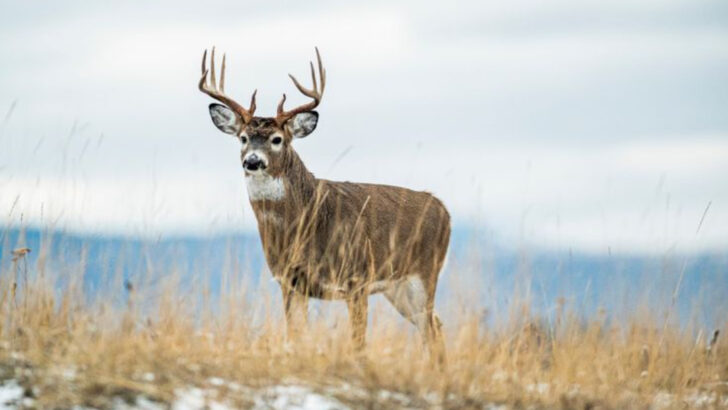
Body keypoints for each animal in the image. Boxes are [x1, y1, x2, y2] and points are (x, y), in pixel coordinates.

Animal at [199, 48, 450, 360]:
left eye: (277, 139)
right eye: (243, 138)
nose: (253, 161)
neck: (306, 221)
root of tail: (443, 209)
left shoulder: (356, 277)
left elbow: (358, 344)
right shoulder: (289, 282)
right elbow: (294, 337)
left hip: (424, 273)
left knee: (432, 328)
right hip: (398, 287)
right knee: (435, 327)